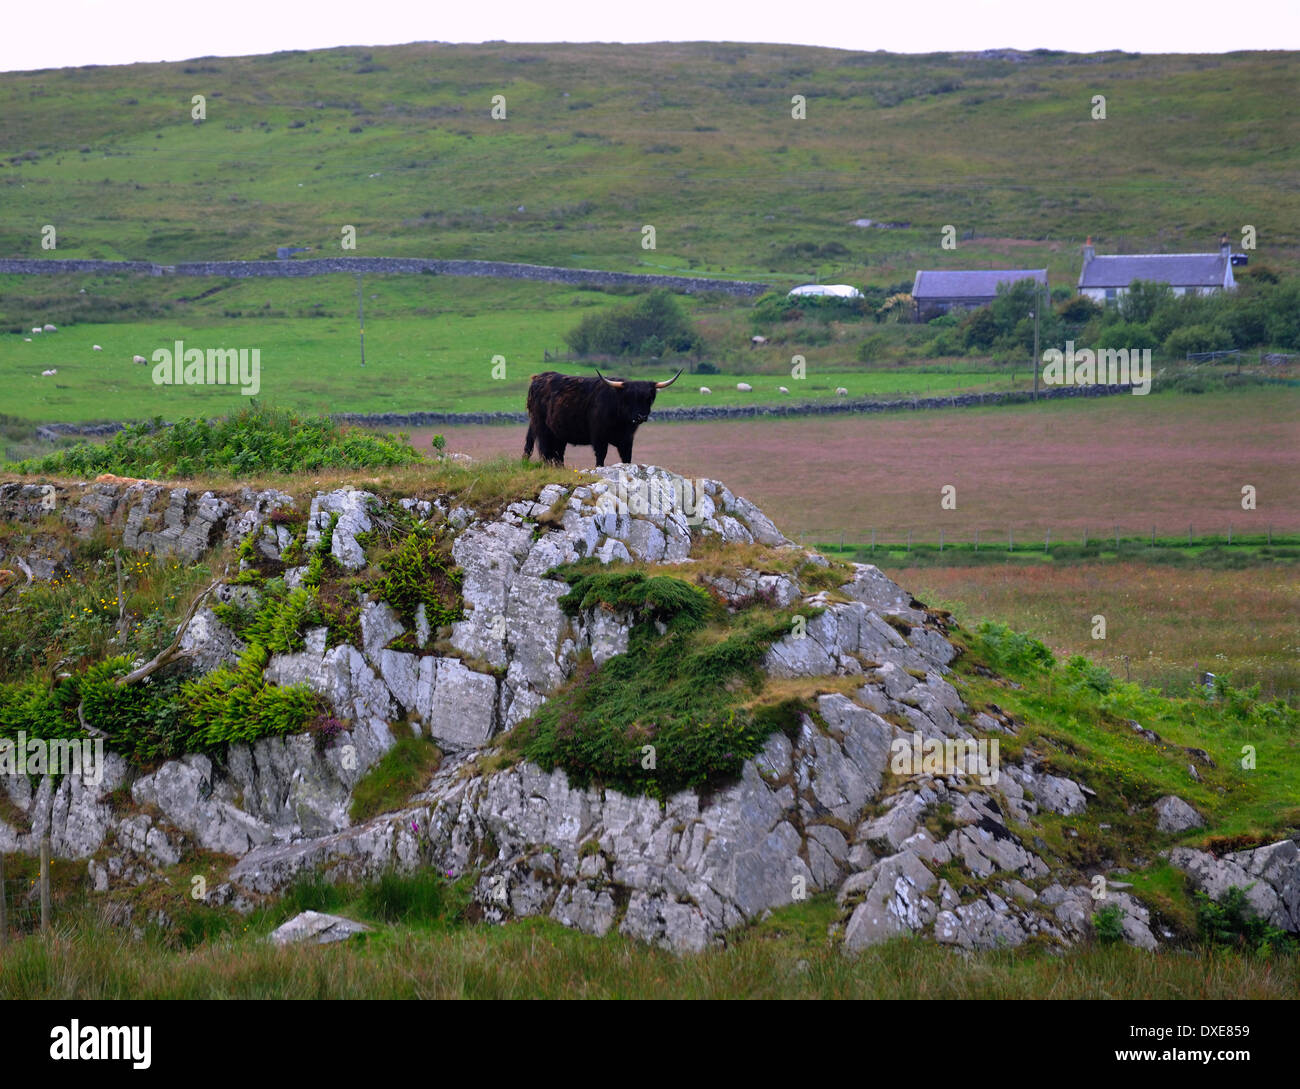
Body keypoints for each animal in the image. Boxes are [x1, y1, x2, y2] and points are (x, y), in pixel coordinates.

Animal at [523, 368, 680, 467]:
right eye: (629, 398)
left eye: (649, 398)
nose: (641, 416)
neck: (621, 422)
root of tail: (538, 378)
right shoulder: (599, 437)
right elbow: (601, 456)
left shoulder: (627, 439)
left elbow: (627, 457)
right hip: (542, 428)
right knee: (545, 452)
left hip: (559, 433)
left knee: (557, 454)